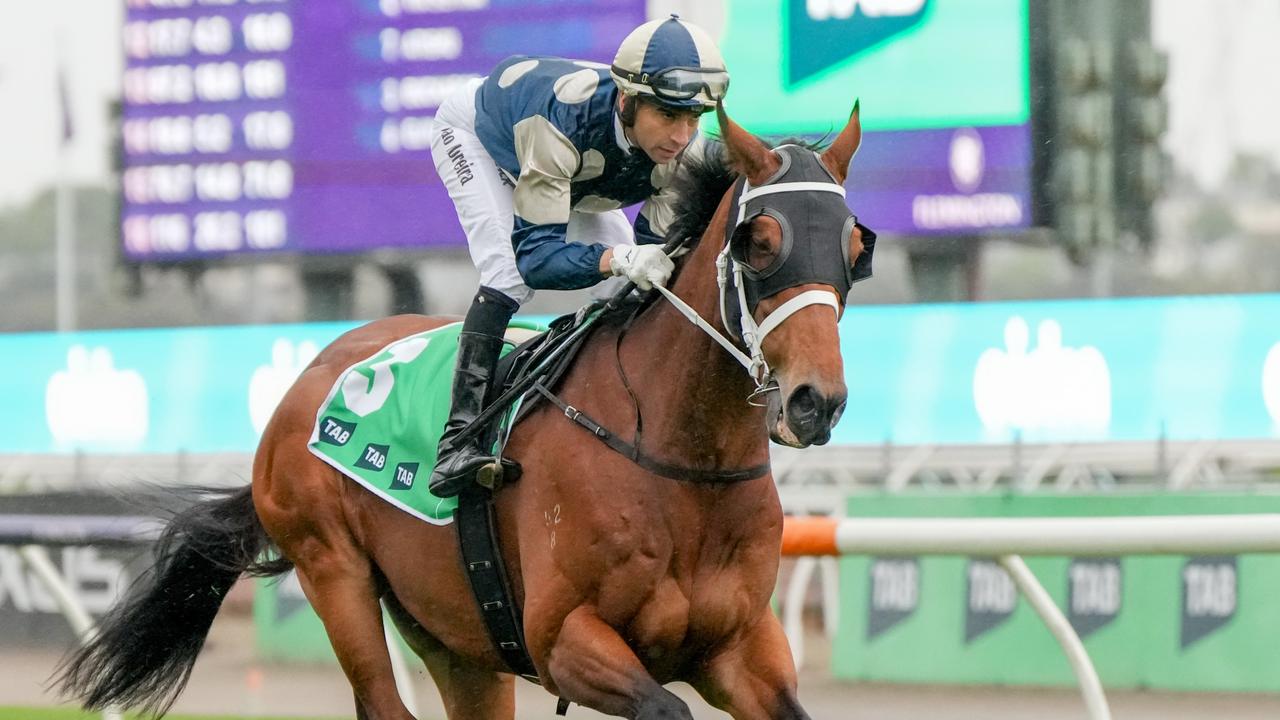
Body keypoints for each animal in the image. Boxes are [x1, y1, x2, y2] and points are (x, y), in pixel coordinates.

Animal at [55, 105, 865, 717]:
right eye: (758, 243)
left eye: (855, 246)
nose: (814, 402)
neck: (679, 456)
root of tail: (311, 374)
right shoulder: (564, 639)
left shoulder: (741, 647)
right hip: (334, 572)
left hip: (454, 633)